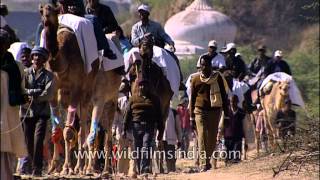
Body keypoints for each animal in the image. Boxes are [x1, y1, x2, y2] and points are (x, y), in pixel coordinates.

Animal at [41, 4, 121, 177]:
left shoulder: (88, 93)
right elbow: (63, 131)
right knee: (84, 131)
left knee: (105, 136)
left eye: (52, 11)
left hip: (110, 99)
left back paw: (104, 170)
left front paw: (76, 168)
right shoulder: (59, 92)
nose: (46, 19)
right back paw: (81, 167)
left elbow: (84, 134)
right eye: (41, 11)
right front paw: (60, 167)